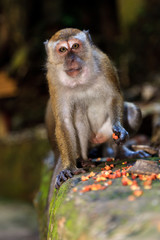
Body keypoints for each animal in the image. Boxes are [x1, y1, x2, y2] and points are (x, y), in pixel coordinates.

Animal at [44, 28, 149, 189]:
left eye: (75, 46)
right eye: (62, 50)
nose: (71, 59)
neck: (79, 80)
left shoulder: (103, 62)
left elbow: (114, 97)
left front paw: (119, 128)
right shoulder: (53, 79)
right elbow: (65, 121)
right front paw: (69, 167)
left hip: (104, 134)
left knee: (133, 112)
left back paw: (121, 153)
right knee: (78, 113)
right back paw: (84, 160)